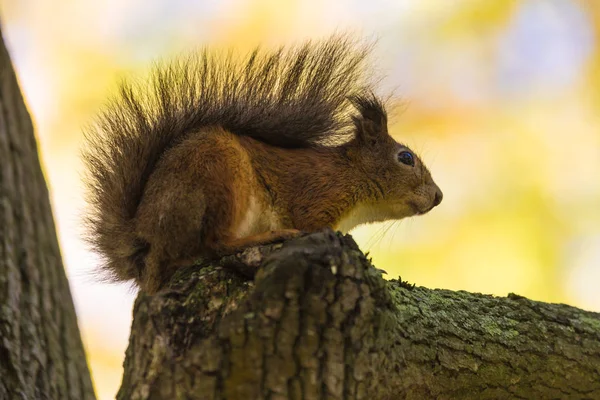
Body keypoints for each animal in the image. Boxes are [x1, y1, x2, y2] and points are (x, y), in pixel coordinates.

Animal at [82, 36, 442, 294]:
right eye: (406, 158)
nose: (438, 196)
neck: (349, 174)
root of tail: (148, 248)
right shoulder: (317, 198)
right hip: (223, 177)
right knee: (216, 243)